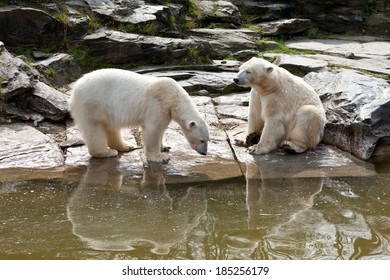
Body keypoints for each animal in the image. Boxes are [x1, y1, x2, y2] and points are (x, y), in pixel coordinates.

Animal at [70, 68, 210, 163]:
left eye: (208, 139)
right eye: (201, 140)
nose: (204, 153)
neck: (173, 97)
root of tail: (74, 90)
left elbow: (161, 129)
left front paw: (165, 147)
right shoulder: (158, 104)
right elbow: (153, 129)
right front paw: (161, 157)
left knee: (111, 127)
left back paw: (126, 146)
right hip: (93, 104)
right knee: (94, 128)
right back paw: (108, 152)